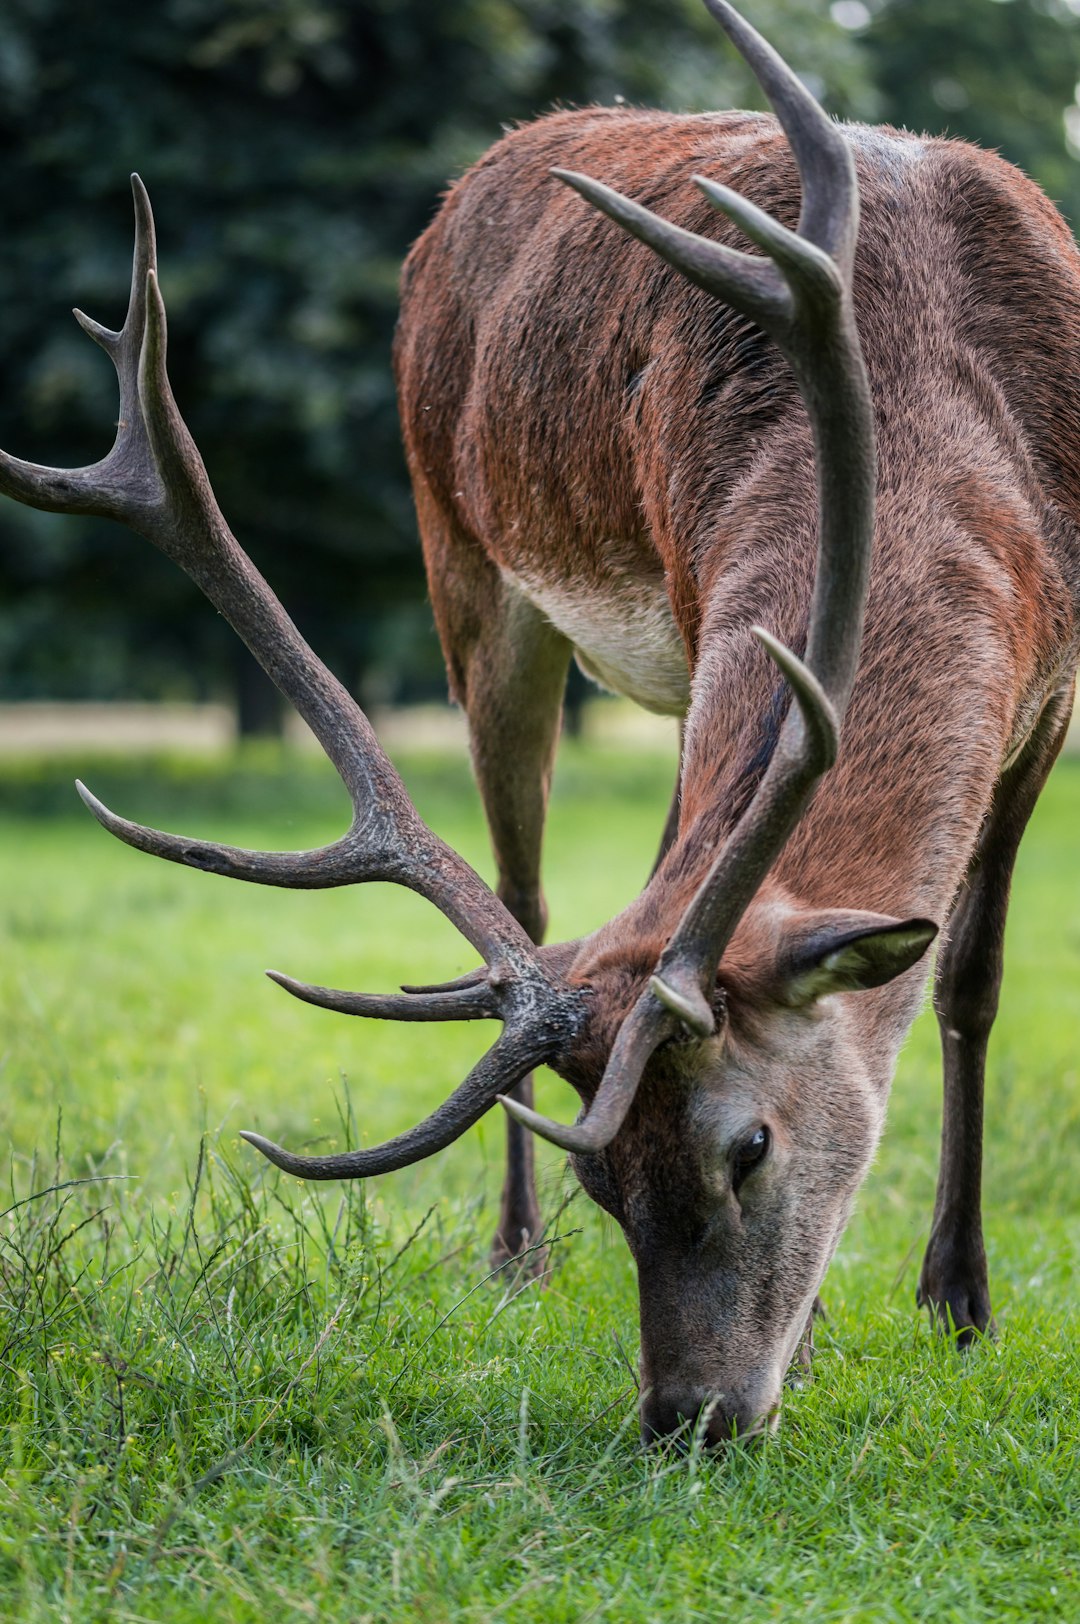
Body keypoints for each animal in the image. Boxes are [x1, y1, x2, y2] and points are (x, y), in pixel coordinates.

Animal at [2, 0, 1078, 1448]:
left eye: (750, 1144)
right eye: (603, 1187)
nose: (689, 1411)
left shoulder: (1052, 692)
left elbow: (971, 978)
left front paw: (959, 1303)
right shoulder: (688, 591)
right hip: (469, 564)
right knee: (528, 884)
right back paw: (509, 1254)